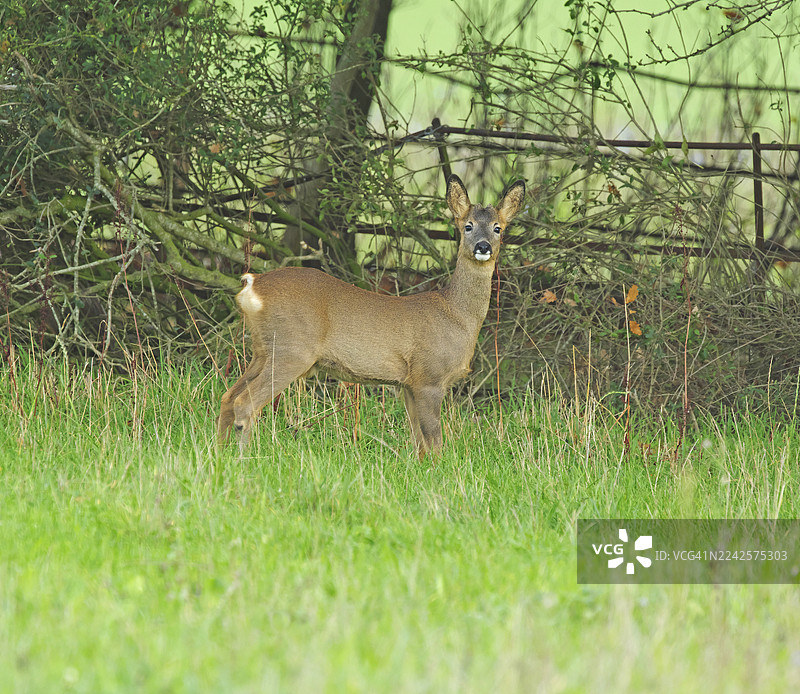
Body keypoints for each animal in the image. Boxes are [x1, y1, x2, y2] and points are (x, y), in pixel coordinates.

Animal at [218, 174, 525, 458]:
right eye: (468, 226)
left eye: (498, 228)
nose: (483, 246)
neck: (456, 314)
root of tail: (252, 284)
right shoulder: (429, 377)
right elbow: (434, 442)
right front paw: (440, 472)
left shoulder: (407, 384)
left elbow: (419, 442)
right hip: (291, 350)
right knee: (245, 402)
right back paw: (244, 458)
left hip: (263, 350)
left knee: (227, 397)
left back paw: (219, 453)